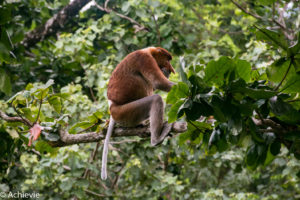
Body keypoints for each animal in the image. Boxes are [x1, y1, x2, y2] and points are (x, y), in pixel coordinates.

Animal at [101, 47, 176, 180]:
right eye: (168, 59)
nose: (170, 68)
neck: (148, 51)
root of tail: (112, 106)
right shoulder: (144, 59)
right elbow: (158, 83)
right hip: (125, 112)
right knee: (156, 99)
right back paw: (156, 139)